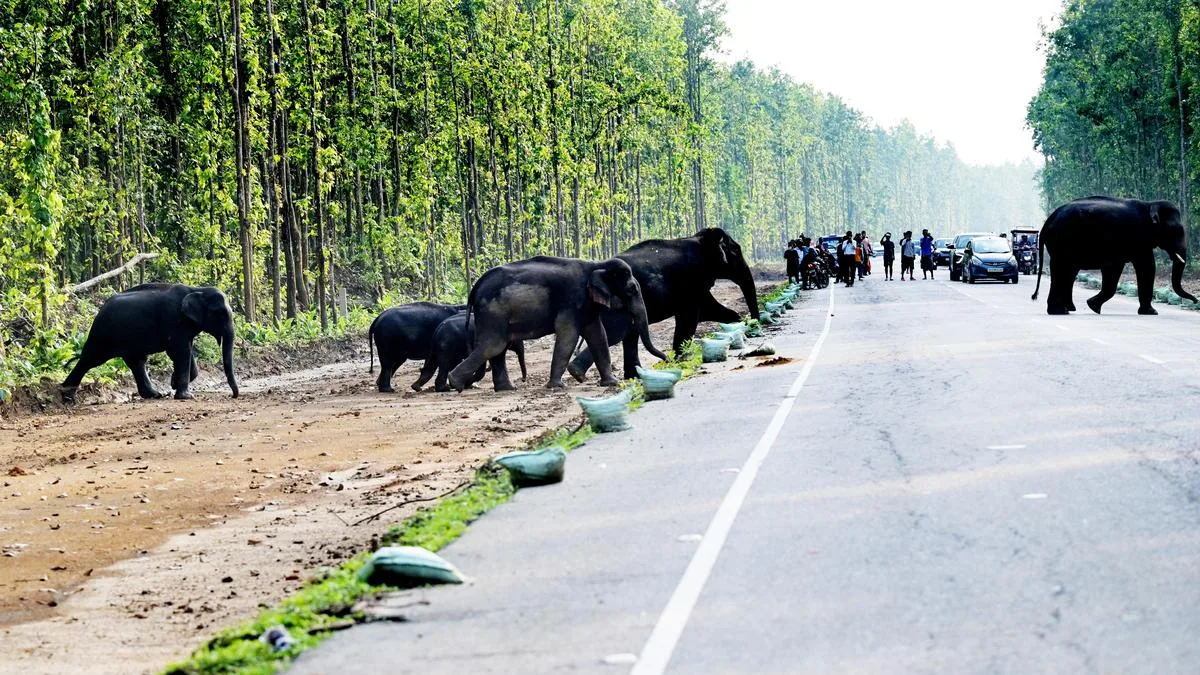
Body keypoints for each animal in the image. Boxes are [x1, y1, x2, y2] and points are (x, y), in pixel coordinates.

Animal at [61, 283, 239, 402]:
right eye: (220, 313)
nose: (233, 395)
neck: (196, 289)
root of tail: (100, 309)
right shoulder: (174, 321)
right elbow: (181, 352)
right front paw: (186, 396)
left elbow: (185, 352)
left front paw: (173, 384)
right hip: (103, 335)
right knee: (90, 360)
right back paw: (67, 395)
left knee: (137, 362)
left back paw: (155, 395)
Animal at [447, 256, 667, 391]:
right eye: (631, 290)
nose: (666, 359)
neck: (596, 264)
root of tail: (474, 289)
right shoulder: (571, 300)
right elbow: (569, 336)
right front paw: (557, 386)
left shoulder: (585, 306)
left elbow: (598, 335)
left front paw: (611, 383)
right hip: (492, 312)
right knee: (494, 345)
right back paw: (456, 384)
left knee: (497, 348)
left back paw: (506, 389)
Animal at [567, 228, 760, 381]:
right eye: (737, 250)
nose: (755, 327)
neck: (700, 239)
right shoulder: (692, 280)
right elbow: (691, 317)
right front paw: (682, 359)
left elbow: (709, 309)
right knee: (616, 332)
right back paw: (578, 373)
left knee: (628, 333)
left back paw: (630, 375)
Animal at [1031, 196, 1197, 315]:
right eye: (1177, 230)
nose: (1195, 301)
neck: (1150, 204)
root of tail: (1047, 222)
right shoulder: (1134, 237)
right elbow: (1142, 266)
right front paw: (1093, 306)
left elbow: (1144, 266)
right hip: (1062, 240)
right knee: (1061, 269)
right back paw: (1059, 311)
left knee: (1066, 271)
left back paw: (1066, 309)